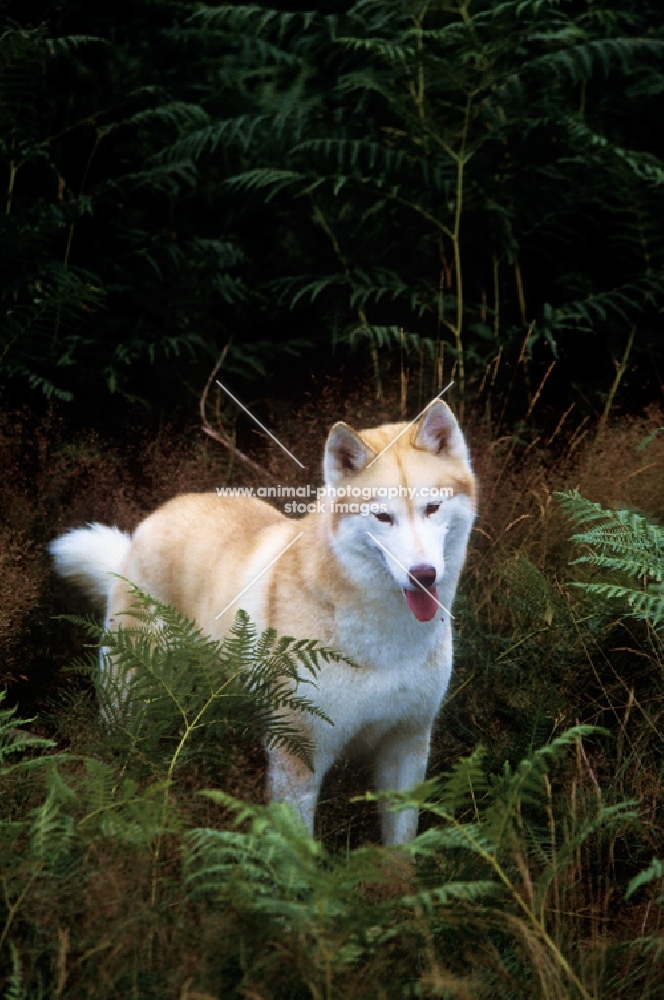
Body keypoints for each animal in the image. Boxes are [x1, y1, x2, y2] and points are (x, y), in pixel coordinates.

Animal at [53, 398, 478, 844]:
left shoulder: (406, 746)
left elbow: (401, 847)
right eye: (383, 517)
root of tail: (145, 528)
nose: (423, 575)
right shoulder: (297, 756)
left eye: (432, 508)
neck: (388, 641)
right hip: (127, 711)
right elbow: (299, 851)